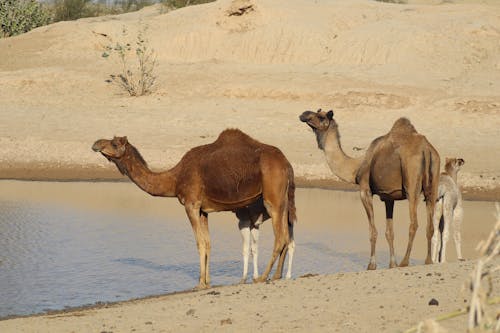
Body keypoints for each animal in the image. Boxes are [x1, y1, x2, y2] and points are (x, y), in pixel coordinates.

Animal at [93, 128, 296, 290]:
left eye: (114, 143)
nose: (95, 144)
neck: (175, 179)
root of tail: (287, 164)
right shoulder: (202, 210)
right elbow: (208, 243)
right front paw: (207, 282)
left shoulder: (190, 204)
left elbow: (199, 243)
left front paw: (199, 283)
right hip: (284, 199)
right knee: (287, 235)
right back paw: (277, 275)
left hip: (272, 197)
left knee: (280, 237)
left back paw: (262, 277)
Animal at [298, 110, 440, 268]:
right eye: (317, 111)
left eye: (321, 116)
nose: (304, 114)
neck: (357, 167)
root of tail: (426, 150)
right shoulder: (388, 197)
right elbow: (389, 232)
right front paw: (392, 264)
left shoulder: (365, 190)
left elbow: (373, 231)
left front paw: (371, 265)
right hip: (433, 182)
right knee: (430, 224)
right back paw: (428, 261)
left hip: (411, 181)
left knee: (414, 223)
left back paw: (405, 262)